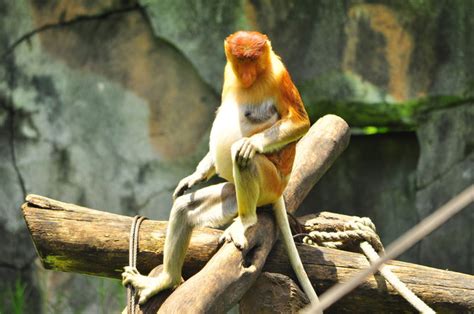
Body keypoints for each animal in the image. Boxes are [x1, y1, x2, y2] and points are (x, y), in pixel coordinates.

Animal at [122, 30, 318, 306]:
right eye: (240, 61)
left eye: (253, 59)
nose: (245, 75)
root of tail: (279, 191)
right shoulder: (228, 73)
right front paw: (193, 177)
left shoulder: (279, 75)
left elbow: (301, 122)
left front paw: (250, 143)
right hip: (231, 194)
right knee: (184, 209)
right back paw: (166, 280)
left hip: (270, 184)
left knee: (245, 159)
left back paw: (246, 220)